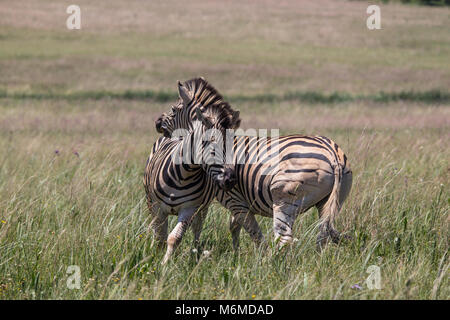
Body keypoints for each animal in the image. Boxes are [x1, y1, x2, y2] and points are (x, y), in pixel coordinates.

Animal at [144, 79, 243, 262]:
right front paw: (155, 258)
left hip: (203, 207)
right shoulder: (156, 207)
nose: (231, 180)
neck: (184, 174)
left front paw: (165, 263)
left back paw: (195, 253)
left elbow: (174, 237)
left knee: (197, 229)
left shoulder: (190, 208)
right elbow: (159, 235)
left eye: (232, 146)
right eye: (211, 144)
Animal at [156, 77, 354, 250]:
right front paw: (237, 256)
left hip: (284, 201)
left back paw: (273, 266)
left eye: (174, 109)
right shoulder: (242, 202)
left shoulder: (234, 200)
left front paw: (257, 260)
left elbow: (254, 233)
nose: (157, 122)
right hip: (330, 202)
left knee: (284, 239)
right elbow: (235, 227)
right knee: (323, 236)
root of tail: (332, 153)